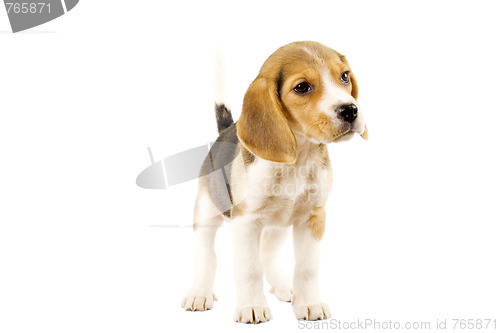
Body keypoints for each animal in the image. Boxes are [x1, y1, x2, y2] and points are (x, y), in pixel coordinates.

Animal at [181, 40, 368, 322]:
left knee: (268, 254)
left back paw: (283, 287)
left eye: (344, 76)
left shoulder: (313, 218)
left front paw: (309, 303)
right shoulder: (245, 221)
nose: (350, 110)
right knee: (206, 255)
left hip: (277, 227)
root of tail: (225, 132)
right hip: (206, 211)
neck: (298, 159)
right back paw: (200, 293)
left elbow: (307, 267)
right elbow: (249, 269)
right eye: (302, 87)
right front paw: (251, 306)